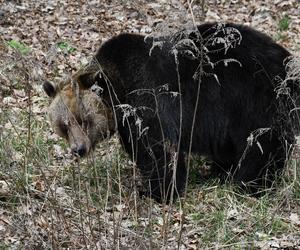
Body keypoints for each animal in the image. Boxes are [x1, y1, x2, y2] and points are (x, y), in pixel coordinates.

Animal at [43, 23, 298, 203]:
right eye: (64, 126)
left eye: (84, 120)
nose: (78, 149)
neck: (117, 88)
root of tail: (287, 62)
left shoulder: (146, 99)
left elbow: (156, 149)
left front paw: (158, 192)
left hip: (253, 98)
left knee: (262, 145)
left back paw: (251, 183)